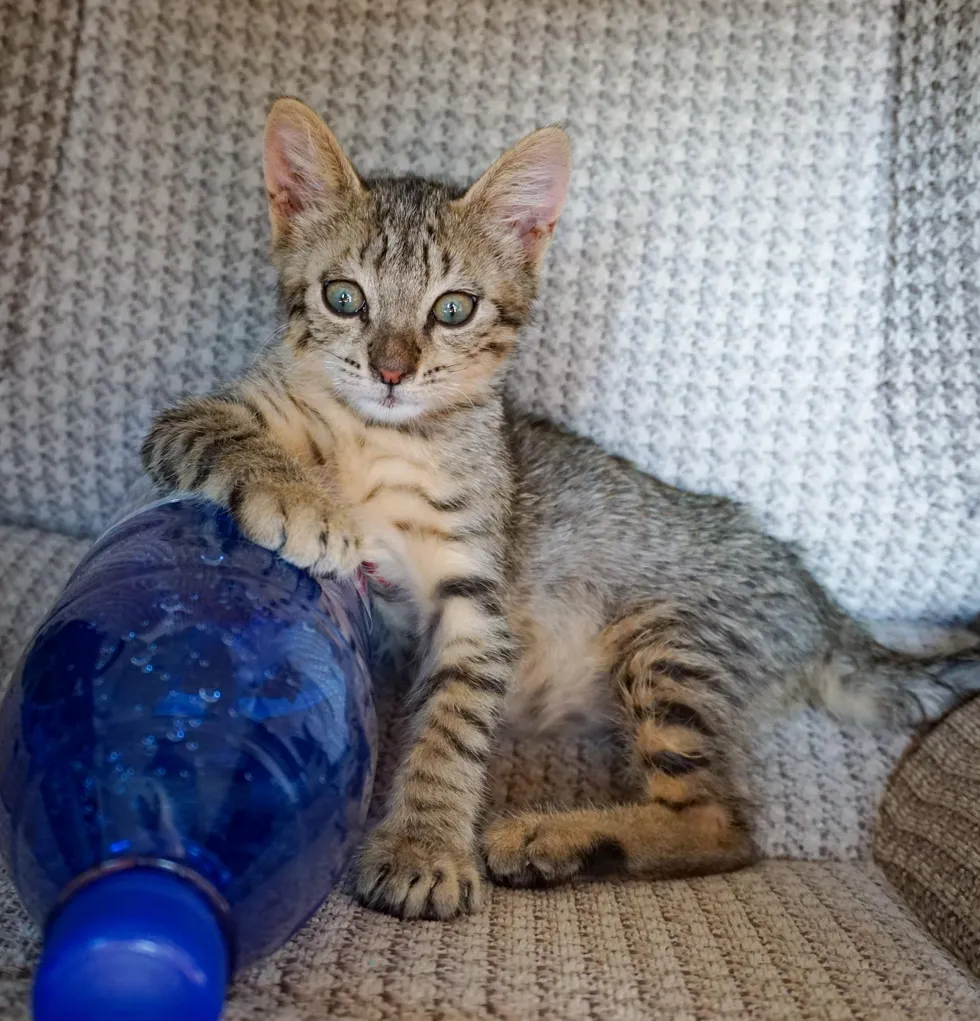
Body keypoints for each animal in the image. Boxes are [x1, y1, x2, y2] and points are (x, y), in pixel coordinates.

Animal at [139, 99, 980, 922]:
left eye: (454, 308)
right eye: (344, 297)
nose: (390, 370)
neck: (385, 438)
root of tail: (824, 608)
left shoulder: (477, 600)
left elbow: (451, 727)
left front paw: (422, 847)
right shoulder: (189, 421)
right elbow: (218, 433)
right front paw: (305, 500)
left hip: (671, 638)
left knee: (724, 823)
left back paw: (552, 836)